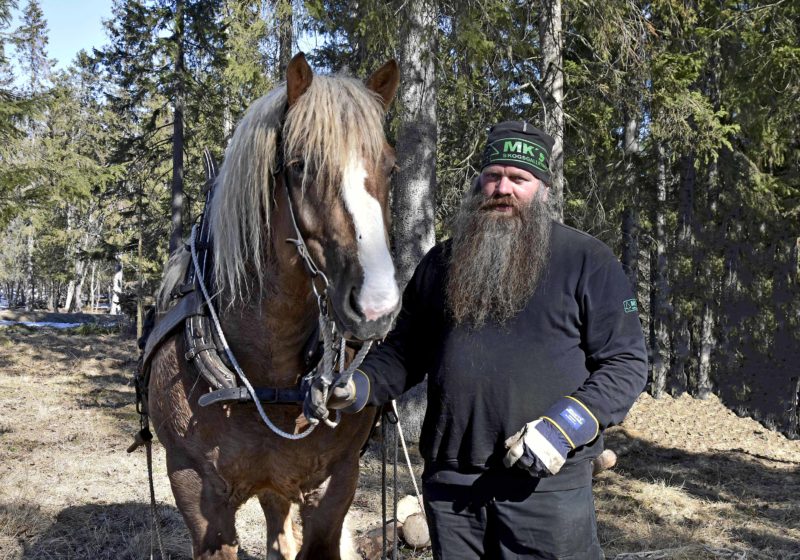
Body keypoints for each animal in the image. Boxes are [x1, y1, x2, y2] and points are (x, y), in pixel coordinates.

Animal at [148, 53, 404, 560]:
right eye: (299, 165)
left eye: (390, 167)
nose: (377, 306)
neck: (267, 377)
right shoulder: (195, 493)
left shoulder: (335, 485)